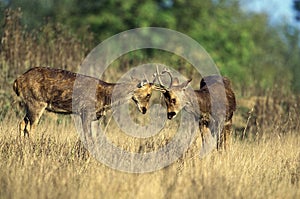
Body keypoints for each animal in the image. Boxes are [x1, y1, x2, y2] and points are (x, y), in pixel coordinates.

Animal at [13, 67, 155, 140]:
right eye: (148, 94)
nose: (144, 109)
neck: (106, 97)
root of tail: (17, 81)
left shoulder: (94, 116)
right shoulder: (85, 111)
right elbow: (88, 137)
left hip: (30, 104)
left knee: (22, 123)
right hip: (36, 102)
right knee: (30, 126)